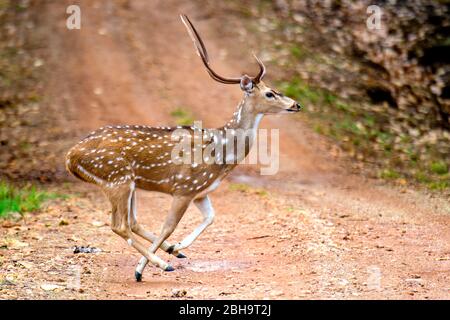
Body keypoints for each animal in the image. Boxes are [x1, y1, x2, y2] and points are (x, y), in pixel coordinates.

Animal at [64, 13, 302, 282]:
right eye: (270, 93)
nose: (296, 104)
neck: (222, 154)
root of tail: (70, 157)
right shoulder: (184, 187)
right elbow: (169, 226)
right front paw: (143, 267)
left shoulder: (201, 190)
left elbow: (210, 217)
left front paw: (177, 247)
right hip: (117, 178)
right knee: (119, 224)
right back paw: (161, 264)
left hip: (127, 183)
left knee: (132, 222)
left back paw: (172, 253)